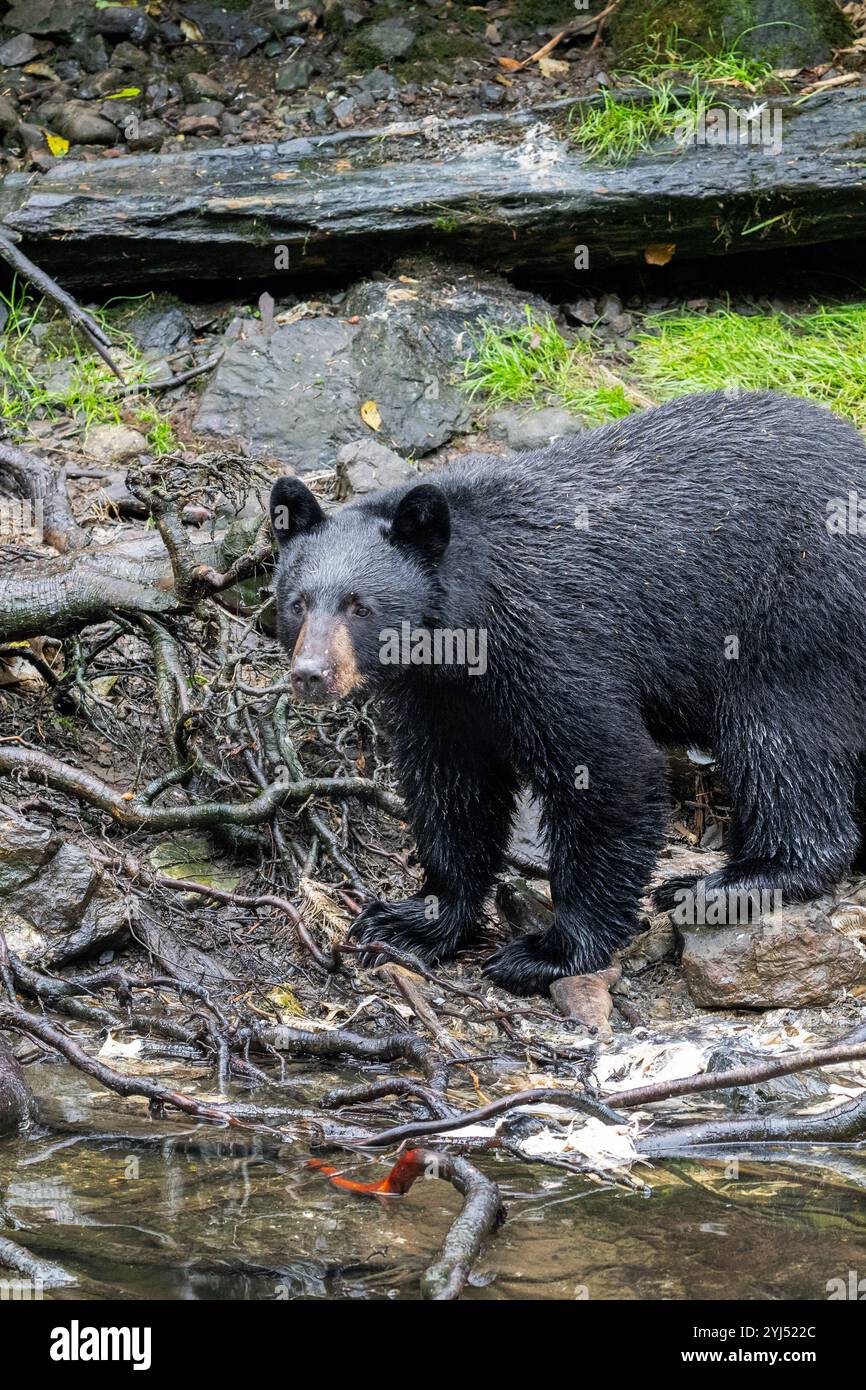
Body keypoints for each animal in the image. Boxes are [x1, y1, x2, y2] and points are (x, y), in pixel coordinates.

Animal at [271, 391, 866, 995]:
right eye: (297, 602)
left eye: (359, 606)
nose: (311, 673)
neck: (468, 633)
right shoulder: (439, 697)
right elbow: (453, 790)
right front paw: (415, 920)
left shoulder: (554, 646)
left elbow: (611, 771)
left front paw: (550, 950)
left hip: (795, 614)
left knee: (781, 740)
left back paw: (729, 881)